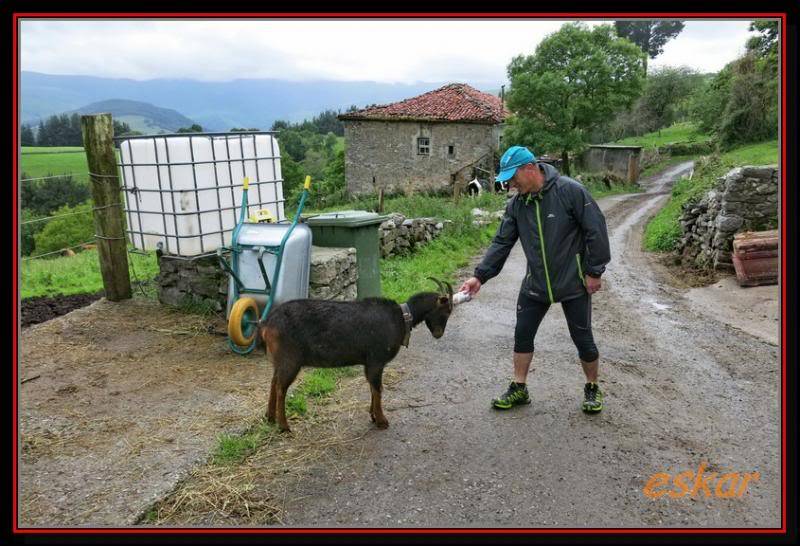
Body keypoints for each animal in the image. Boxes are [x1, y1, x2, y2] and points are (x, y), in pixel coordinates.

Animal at [258, 278, 456, 432]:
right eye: (447, 310)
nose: (438, 334)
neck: (402, 317)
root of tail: (268, 323)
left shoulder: (370, 364)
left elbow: (372, 388)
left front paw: (373, 416)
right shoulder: (376, 361)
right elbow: (378, 389)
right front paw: (382, 421)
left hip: (280, 360)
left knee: (273, 383)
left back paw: (270, 417)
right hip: (290, 360)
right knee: (281, 388)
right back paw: (284, 426)